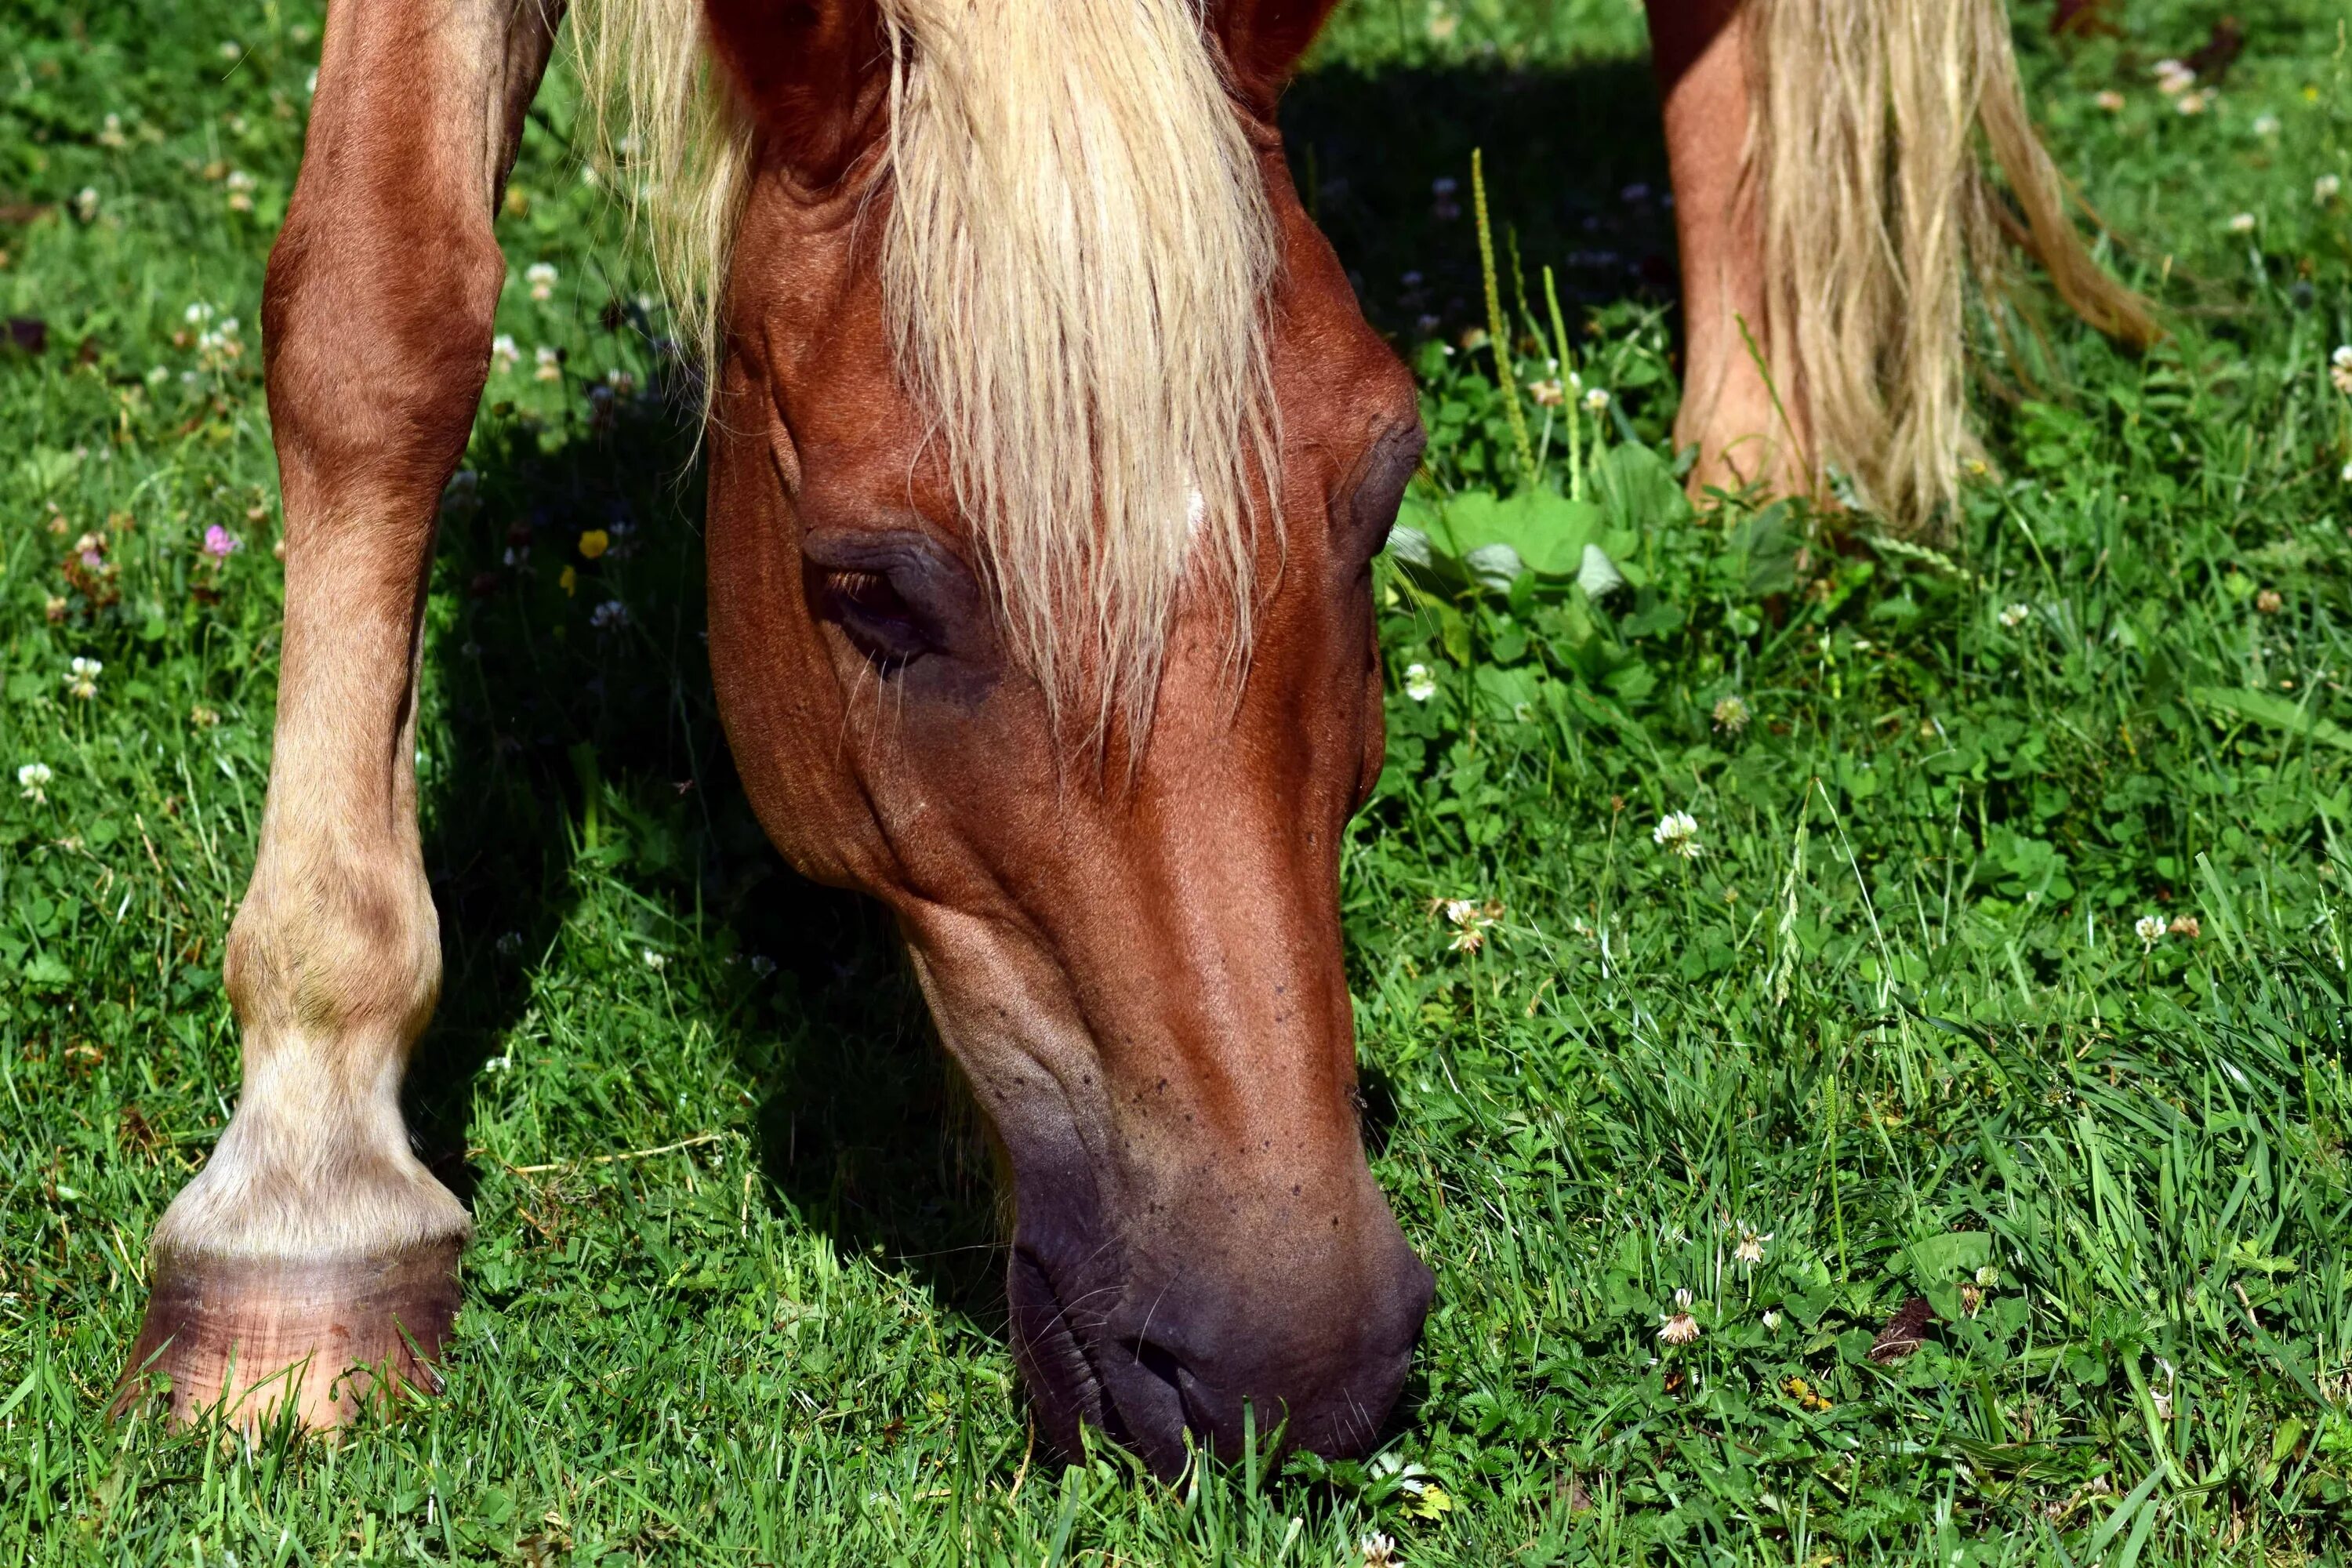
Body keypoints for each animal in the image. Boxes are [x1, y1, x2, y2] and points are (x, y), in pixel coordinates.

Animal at [119, 0, 2154, 1476]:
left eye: (1385, 483)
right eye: (867, 590)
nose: (1292, 1360)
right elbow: (378, 316)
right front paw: (303, 1199)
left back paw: (1750, 486)